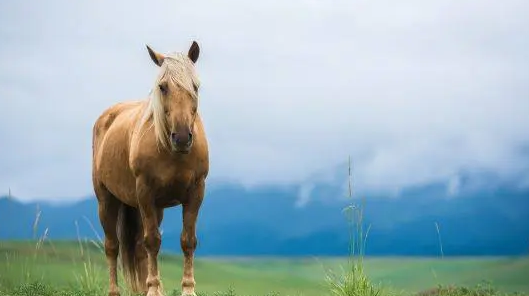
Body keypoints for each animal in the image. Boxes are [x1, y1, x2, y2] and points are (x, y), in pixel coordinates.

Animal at [92, 41, 207, 296]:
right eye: (162, 87)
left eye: (195, 86)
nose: (182, 138)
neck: (171, 152)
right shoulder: (145, 192)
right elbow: (152, 241)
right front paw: (154, 288)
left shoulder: (196, 192)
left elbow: (188, 240)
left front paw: (187, 289)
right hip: (107, 200)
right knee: (113, 246)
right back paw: (115, 291)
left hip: (155, 208)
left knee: (137, 247)